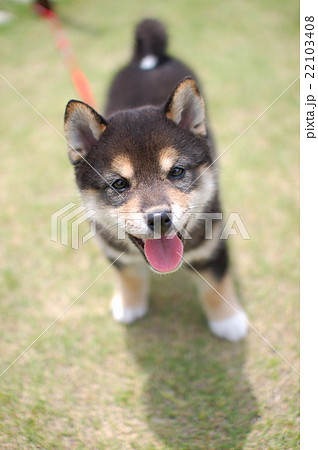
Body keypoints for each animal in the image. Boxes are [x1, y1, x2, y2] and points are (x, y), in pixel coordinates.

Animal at [64, 18, 248, 342]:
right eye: (119, 184)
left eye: (176, 172)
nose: (160, 218)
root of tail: (148, 58)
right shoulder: (115, 252)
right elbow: (129, 277)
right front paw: (129, 304)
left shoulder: (213, 243)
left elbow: (216, 286)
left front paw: (227, 321)